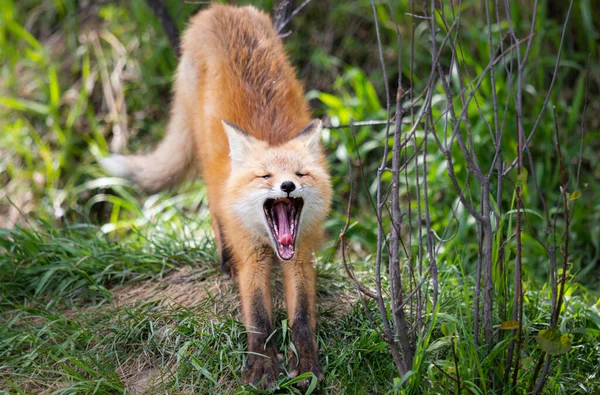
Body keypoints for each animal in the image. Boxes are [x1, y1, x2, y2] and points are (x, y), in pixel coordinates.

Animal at [99, 3, 332, 390]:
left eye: (301, 174)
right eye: (265, 176)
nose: (287, 186)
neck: (271, 245)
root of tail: (220, 10)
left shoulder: (301, 256)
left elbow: (301, 318)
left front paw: (308, 367)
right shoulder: (252, 255)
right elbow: (258, 317)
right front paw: (261, 368)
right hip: (207, 162)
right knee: (213, 208)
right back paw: (224, 260)